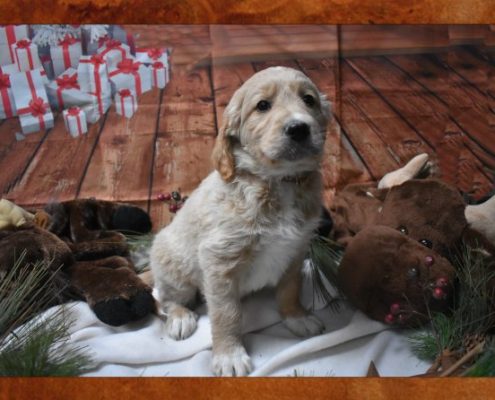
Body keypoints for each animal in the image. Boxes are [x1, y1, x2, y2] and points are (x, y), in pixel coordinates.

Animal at [150, 66, 331, 376]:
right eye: (263, 106)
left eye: (309, 100)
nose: (299, 128)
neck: (278, 182)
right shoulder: (219, 261)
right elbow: (226, 314)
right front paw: (229, 355)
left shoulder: (295, 251)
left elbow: (290, 289)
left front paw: (297, 317)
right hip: (174, 269)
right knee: (164, 299)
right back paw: (181, 317)